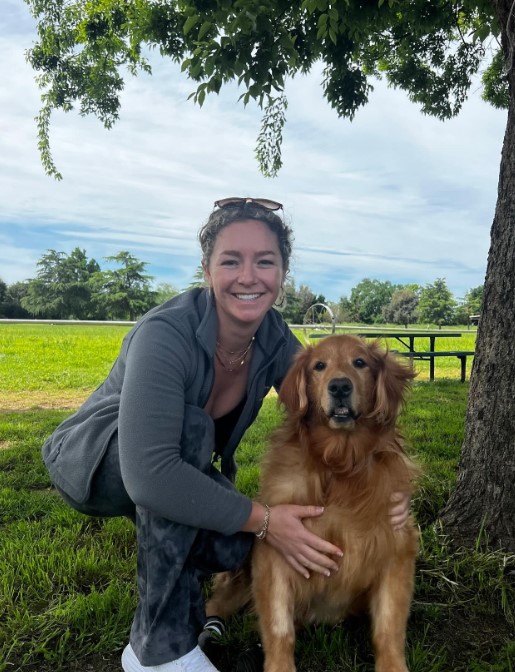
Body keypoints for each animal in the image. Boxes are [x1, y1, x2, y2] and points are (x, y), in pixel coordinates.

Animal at [208, 336, 422, 672]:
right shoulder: (275, 554)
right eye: (319, 366)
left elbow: (388, 629)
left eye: (360, 362)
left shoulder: (396, 550)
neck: (338, 464)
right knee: (213, 605)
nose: (339, 387)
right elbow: (279, 628)